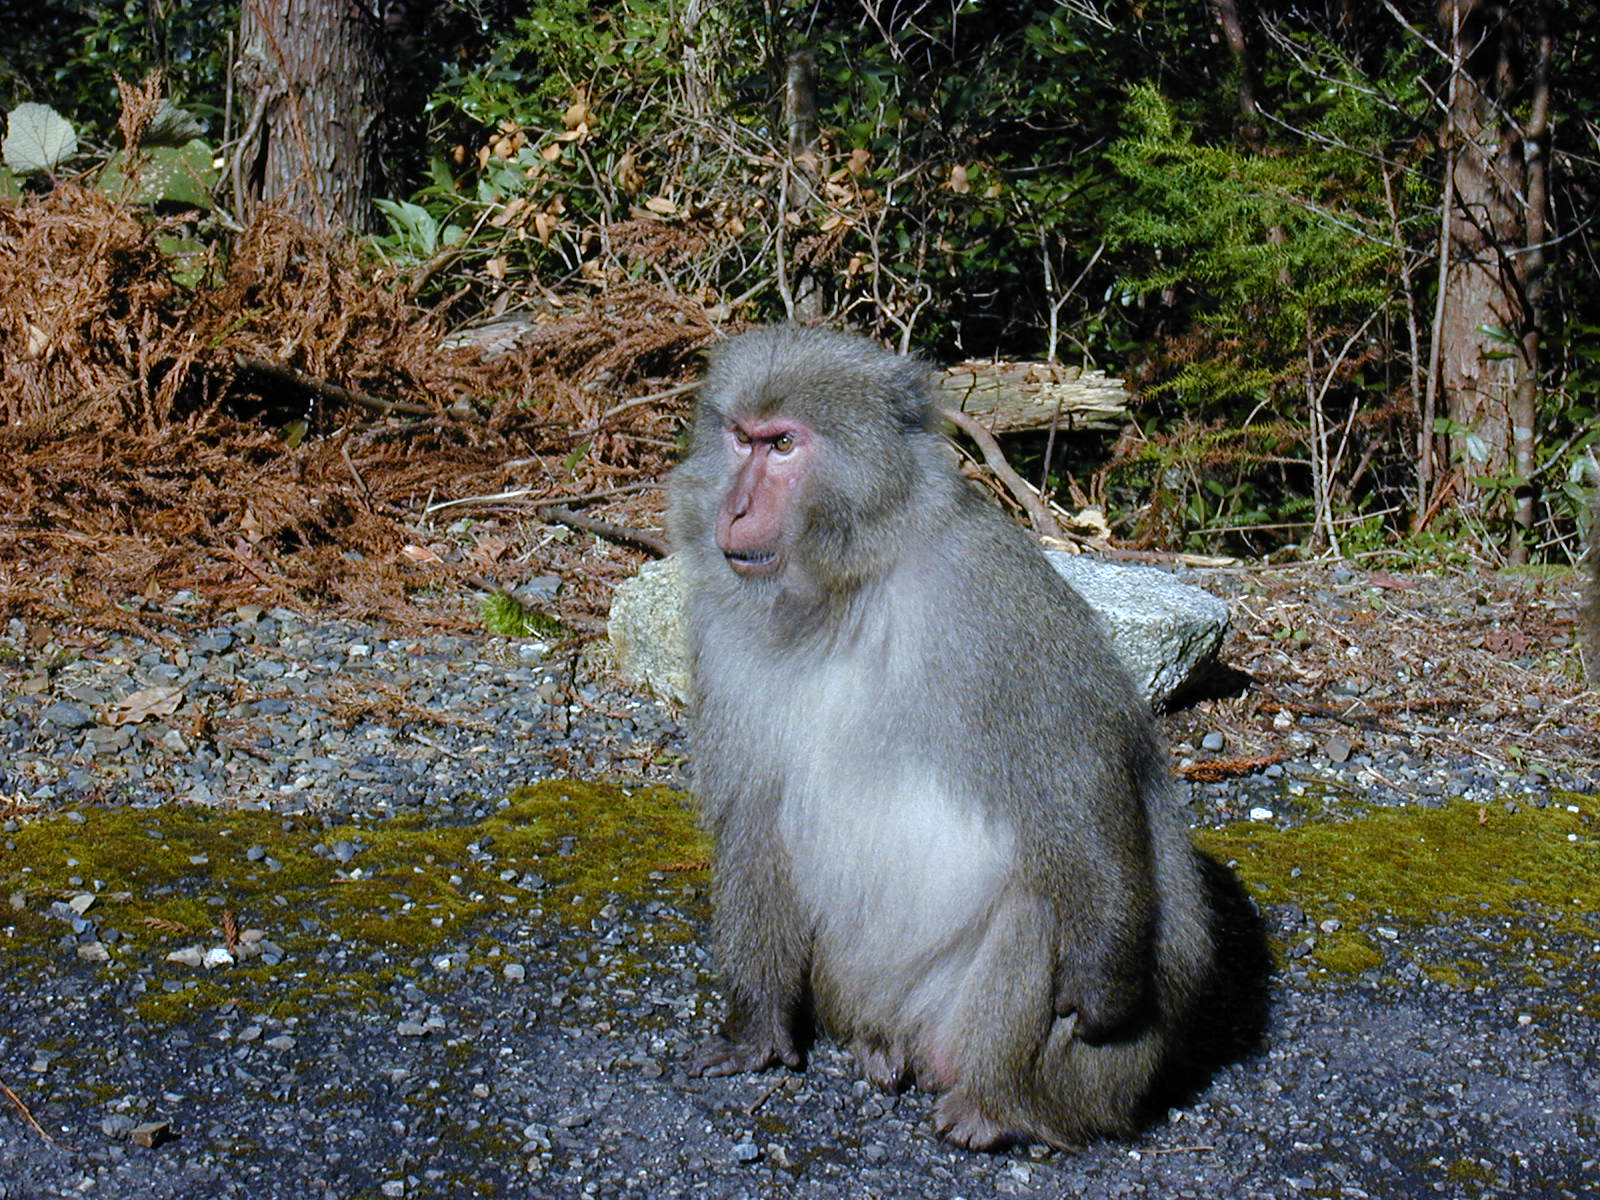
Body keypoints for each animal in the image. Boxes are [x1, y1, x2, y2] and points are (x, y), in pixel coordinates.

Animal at [668, 324, 1216, 1152]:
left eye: (785, 445)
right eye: (740, 437)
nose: (733, 510)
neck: (845, 592)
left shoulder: (985, 593)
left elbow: (1077, 773)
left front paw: (1103, 981)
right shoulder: (719, 625)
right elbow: (755, 818)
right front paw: (756, 1028)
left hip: (1092, 1077)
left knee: (1042, 904)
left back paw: (999, 1107)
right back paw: (877, 1046)